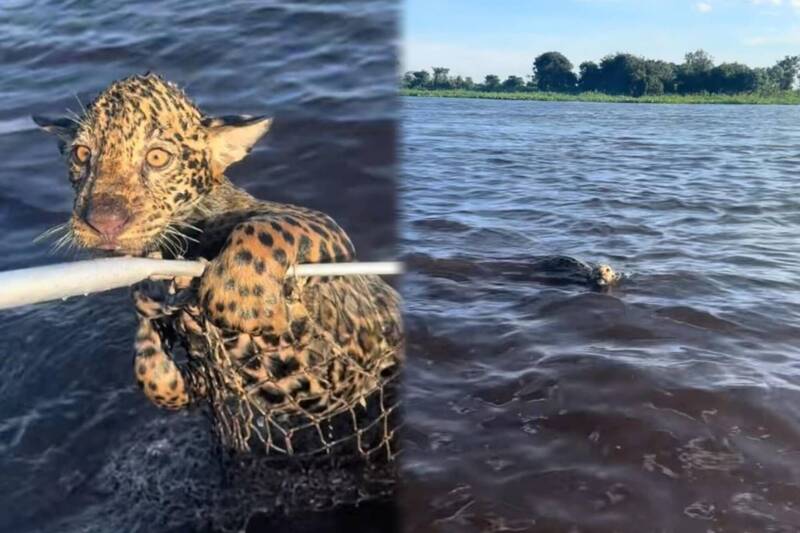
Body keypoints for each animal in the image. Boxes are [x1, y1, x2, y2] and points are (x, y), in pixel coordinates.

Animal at [34, 73, 403, 452]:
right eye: (81, 154)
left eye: (157, 157)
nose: (103, 222)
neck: (180, 245)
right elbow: (150, 372)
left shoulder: (326, 231)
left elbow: (264, 227)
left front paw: (237, 293)